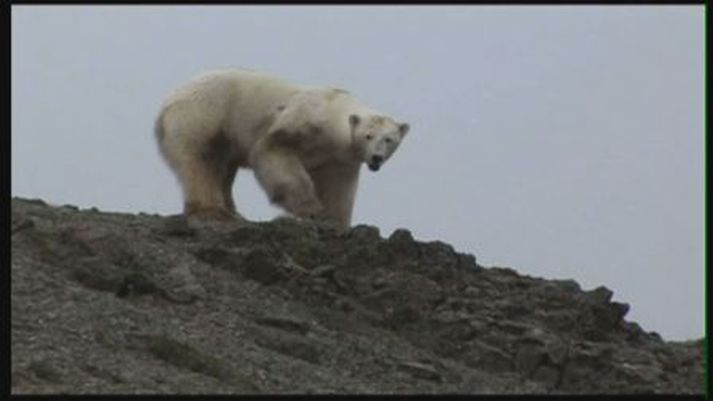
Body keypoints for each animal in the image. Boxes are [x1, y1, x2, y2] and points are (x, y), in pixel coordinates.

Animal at [154, 69, 412, 228]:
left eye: (389, 139)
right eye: (368, 136)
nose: (376, 158)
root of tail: (166, 104)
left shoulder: (338, 157)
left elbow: (338, 187)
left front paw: (335, 221)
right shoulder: (301, 121)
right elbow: (273, 152)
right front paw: (311, 209)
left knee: (224, 167)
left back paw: (233, 211)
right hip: (203, 116)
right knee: (202, 160)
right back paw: (212, 211)